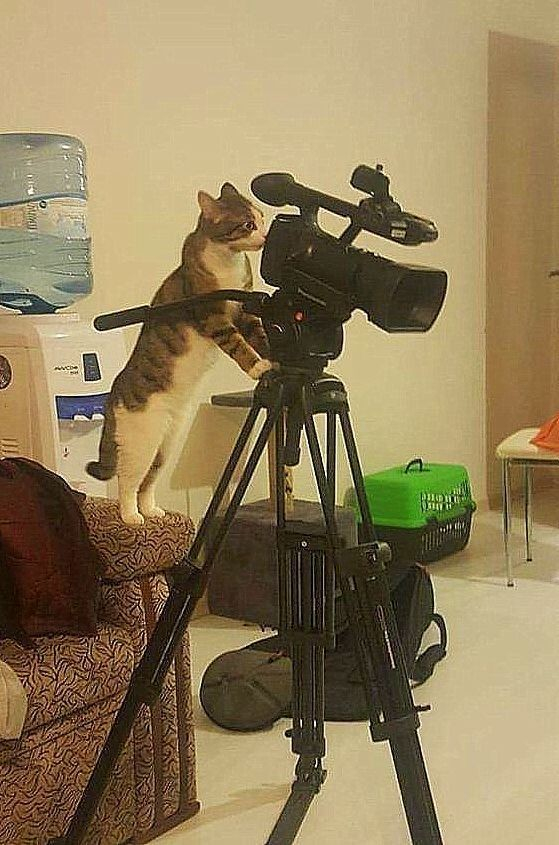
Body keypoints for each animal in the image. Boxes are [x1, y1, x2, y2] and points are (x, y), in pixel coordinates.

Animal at [87, 184, 272, 524]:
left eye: (263, 218)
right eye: (248, 224)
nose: (265, 236)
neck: (229, 262)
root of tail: (113, 395)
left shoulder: (244, 313)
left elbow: (259, 336)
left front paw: (276, 359)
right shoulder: (215, 318)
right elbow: (239, 346)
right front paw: (257, 368)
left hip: (167, 445)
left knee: (148, 481)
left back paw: (152, 511)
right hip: (142, 443)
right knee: (128, 480)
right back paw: (131, 517)